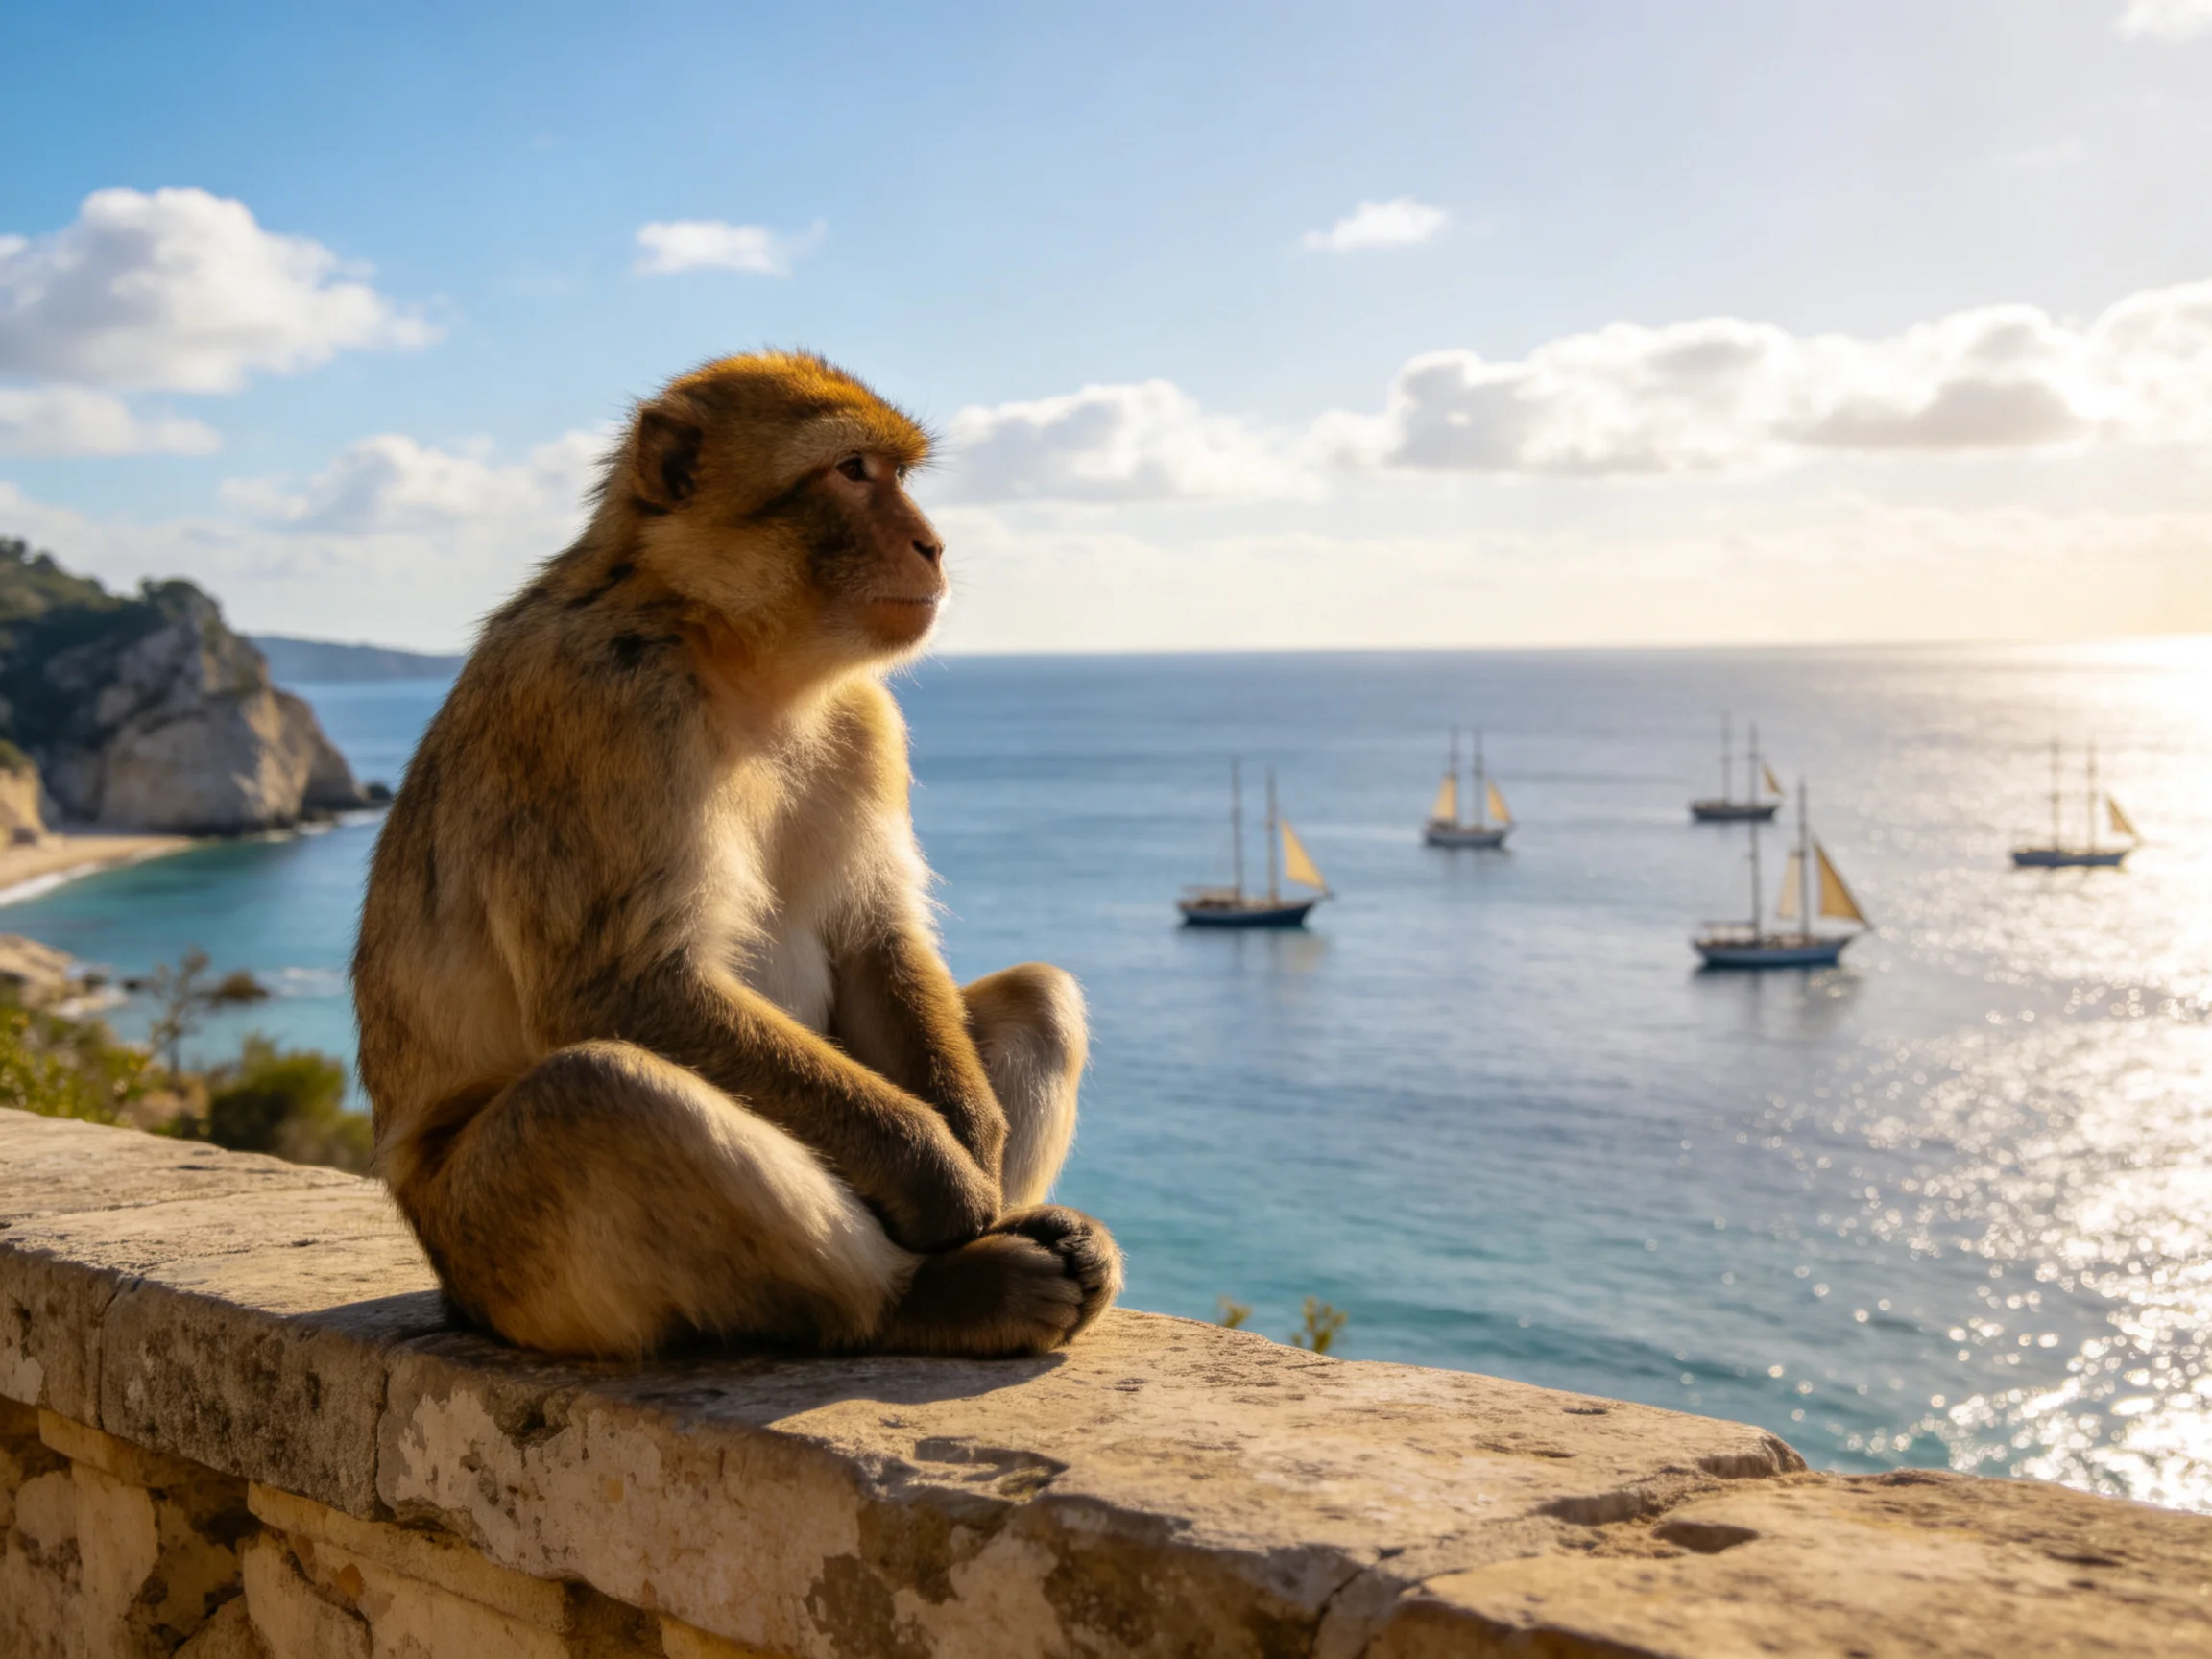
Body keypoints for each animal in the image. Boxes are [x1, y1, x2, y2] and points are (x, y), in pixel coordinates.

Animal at [350, 352, 1121, 1360]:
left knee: (1041, 993)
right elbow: (628, 987)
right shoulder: (604, 705)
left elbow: (873, 938)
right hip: (491, 1257)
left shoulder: (869, 724)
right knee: (596, 1092)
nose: (934, 546)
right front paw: (938, 1176)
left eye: (897, 474)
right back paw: (934, 1298)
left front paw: (976, 1140)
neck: (733, 652)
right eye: (851, 472)